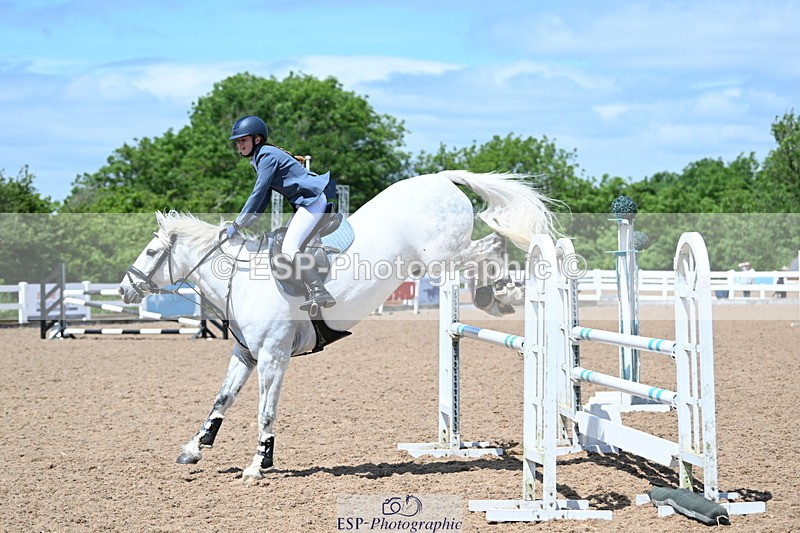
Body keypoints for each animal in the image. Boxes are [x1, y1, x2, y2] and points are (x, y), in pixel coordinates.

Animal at [117, 170, 553, 480]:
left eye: (152, 252)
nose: (125, 287)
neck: (240, 280)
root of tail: (441, 177)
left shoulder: (274, 357)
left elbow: (265, 410)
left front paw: (258, 465)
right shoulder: (246, 354)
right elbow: (222, 399)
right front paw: (194, 448)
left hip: (441, 257)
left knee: (491, 246)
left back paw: (498, 295)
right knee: (489, 248)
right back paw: (496, 295)